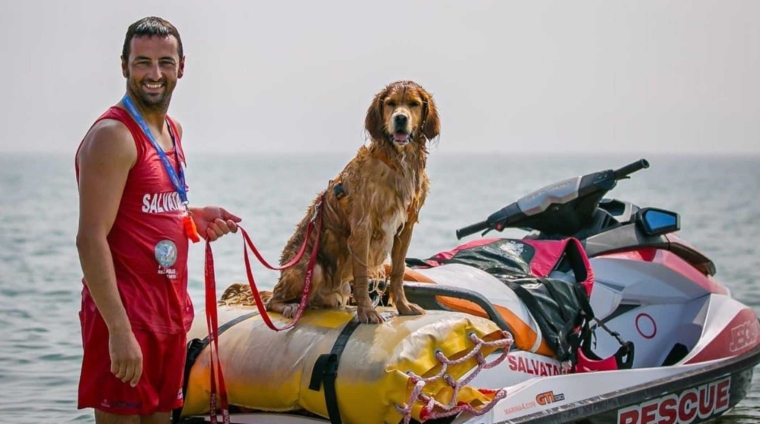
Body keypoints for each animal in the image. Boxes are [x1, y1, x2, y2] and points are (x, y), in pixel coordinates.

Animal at [268, 80, 442, 324]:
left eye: (414, 104)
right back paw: (290, 307)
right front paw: (367, 312)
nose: (400, 118)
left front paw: (403, 306)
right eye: (390, 103)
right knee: (272, 299)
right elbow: (361, 275)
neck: (398, 162)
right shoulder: (362, 227)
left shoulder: (405, 228)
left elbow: (398, 271)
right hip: (313, 269)